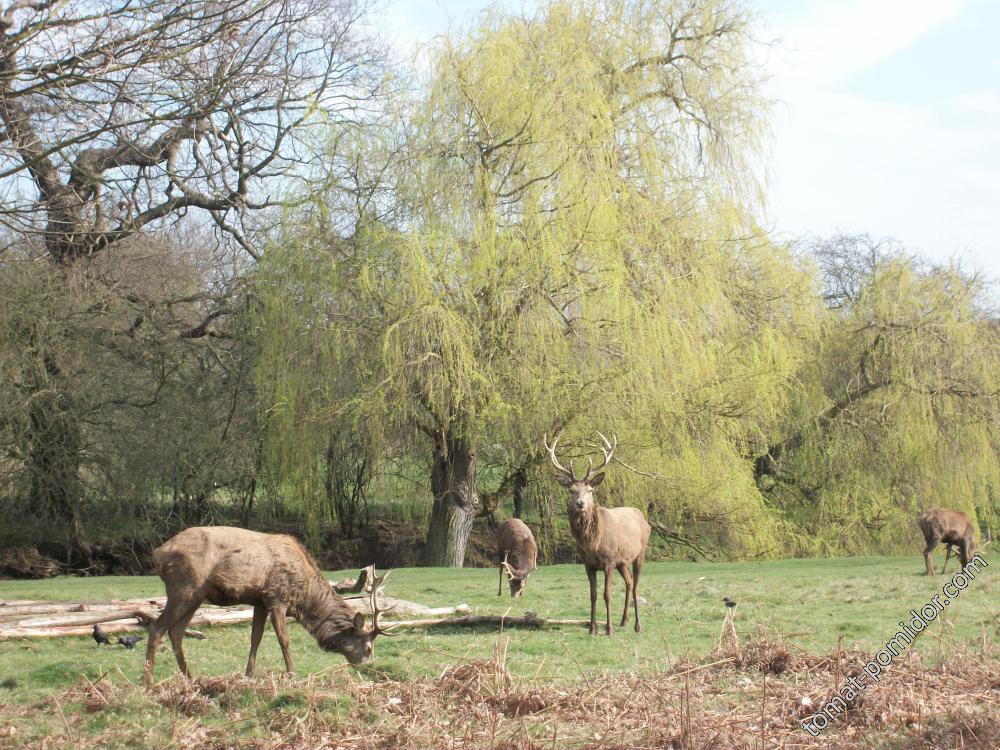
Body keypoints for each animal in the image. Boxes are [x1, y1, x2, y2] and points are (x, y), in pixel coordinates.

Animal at [145, 528, 394, 688]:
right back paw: (149, 683)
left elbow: (255, 638)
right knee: (156, 628)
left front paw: (248, 676)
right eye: (368, 648)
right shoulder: (276, 598)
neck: (302, 596)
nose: (372, 669)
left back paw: (191, 679)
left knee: (176, 632)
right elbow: (283, 639)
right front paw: (293, 674)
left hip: (197, 595)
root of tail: (157, 554)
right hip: (184, 587)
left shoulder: (260, 602)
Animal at [544, 432, 652, 636]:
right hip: (622, 561)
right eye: (571, 490)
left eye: (590, 489)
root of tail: (643, 517)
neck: (592, 543)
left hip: (640, 553)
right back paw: (623, 621)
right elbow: (593, 595)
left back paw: (637, 625)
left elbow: (606, 594)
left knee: (636, 586)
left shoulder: (609, 561)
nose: (580, 503)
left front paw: (608, 629)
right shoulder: (588, 564)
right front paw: (592, 629)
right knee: (629, 582)